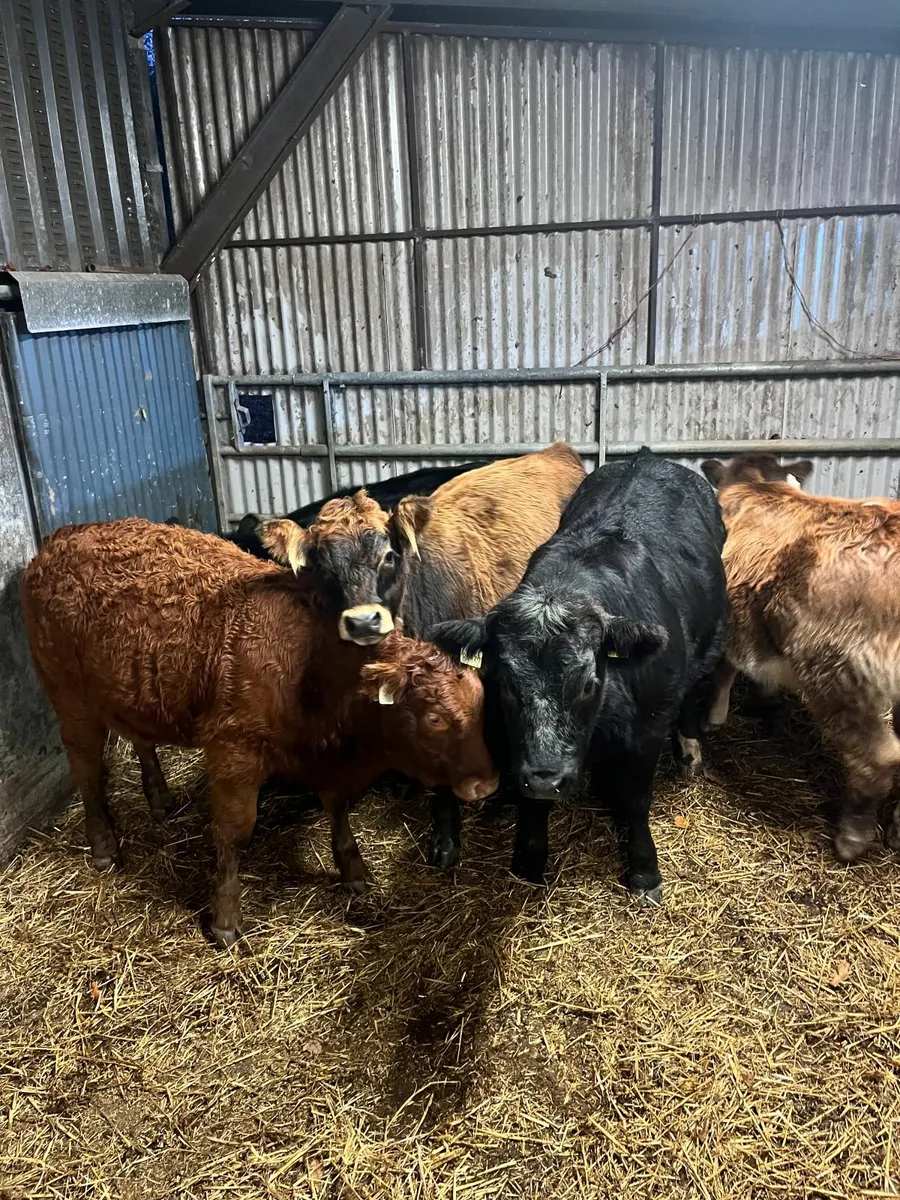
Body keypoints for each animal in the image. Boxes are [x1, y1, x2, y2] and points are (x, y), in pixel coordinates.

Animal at [21, 519, 498, 948]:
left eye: (481, 701)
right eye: (433, 719)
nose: (487, 784)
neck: (311, 663)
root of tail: (62, 538)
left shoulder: (329, 759)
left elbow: (338, 808)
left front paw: (353, 870)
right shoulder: (234, 753)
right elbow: (234, 834)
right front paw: (225, 919)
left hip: (132, 693)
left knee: (141, 738)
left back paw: (159, 797)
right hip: (69, 701)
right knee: (87, 771)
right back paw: (104, 845)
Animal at [433, 448, 729, 896]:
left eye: (589, 684)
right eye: (505, 685)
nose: (546, 780)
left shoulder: (649, 725)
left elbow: (636, 799)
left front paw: (644, 869)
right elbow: (531, 805)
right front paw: (529, 861)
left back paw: (689, 751)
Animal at [701, 451, 900, 863]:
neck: (760, 485)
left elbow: (726, 667)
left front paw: (715, 716)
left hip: (835, 672)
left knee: (879, 756)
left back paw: (852, 839)